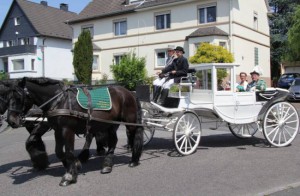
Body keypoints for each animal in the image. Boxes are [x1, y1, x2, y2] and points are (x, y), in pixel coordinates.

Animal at [6, 77, 144, 186]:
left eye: (19, 97)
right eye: (7, 97)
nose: (11, 121)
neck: (60, 101)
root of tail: (129, 92)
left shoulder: (68, 130)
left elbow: (69, 152)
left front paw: (69, 176)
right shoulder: (57, 130)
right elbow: (59, 152)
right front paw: (75, 165)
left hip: (129, 122)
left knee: (133, 135)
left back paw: (134, 160)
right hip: (109, 124)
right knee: (113, 141)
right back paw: (107, 165)